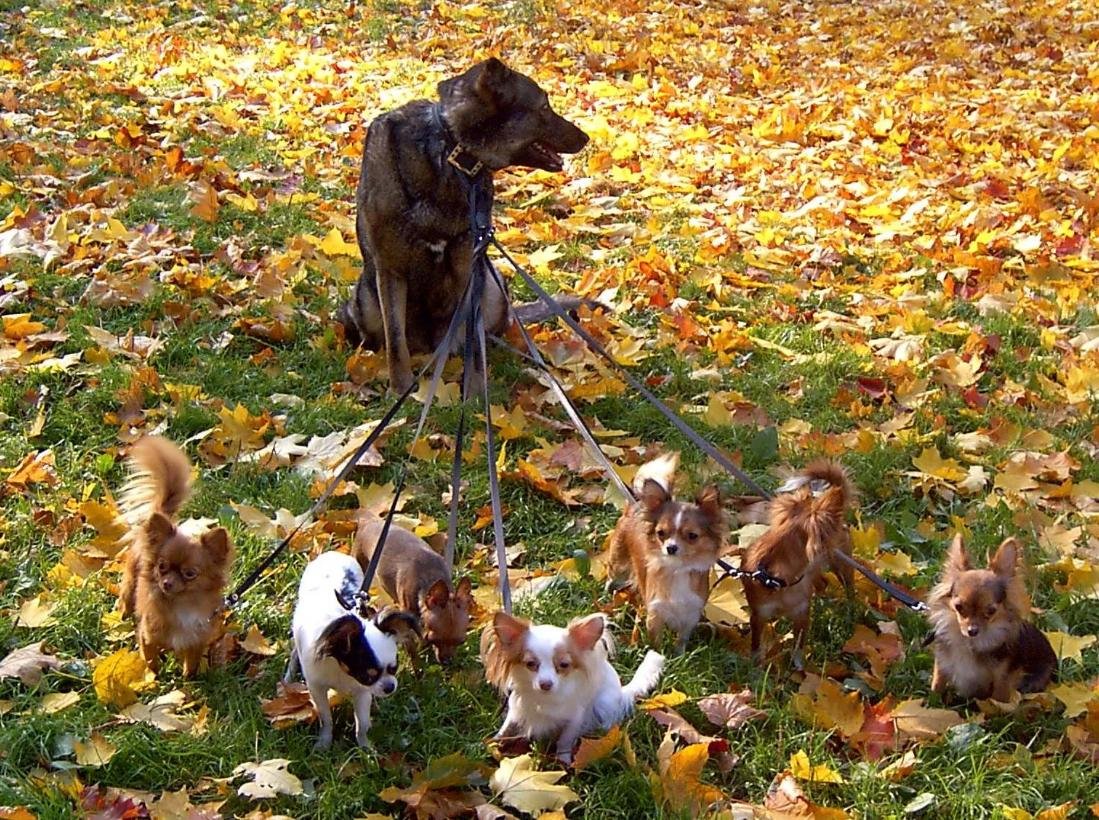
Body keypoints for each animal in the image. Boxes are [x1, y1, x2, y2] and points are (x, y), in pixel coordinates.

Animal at [285, 549, 417, 747]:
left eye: (394, 668)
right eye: (367, 675)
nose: (390, 687)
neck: (341, 669)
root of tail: (332, 553)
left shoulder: (362, 692)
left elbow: (361, 724)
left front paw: (365, 748)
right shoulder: (316, 687)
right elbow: (326, 718)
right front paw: (324, 743)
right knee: (294, 653)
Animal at [340, 57, 593, 393]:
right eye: (543, 106)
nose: (586, 138)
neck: (449, 153)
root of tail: (431, 346)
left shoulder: (469, 268)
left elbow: (475, 343)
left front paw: (473, 393)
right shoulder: (390, 271)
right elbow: (395, 343)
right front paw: (400, 389)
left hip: (493, 286)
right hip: (365, 300)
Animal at [485, 611, 663, 765]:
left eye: (564, 665)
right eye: (530, 664)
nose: (545, 684)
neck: (545, 698)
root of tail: (622, 693)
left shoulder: (575, 719)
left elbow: (565, 741)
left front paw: (563, 762)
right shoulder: (517, 708)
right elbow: (507, 728)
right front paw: (493, 743)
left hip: (604, 705)